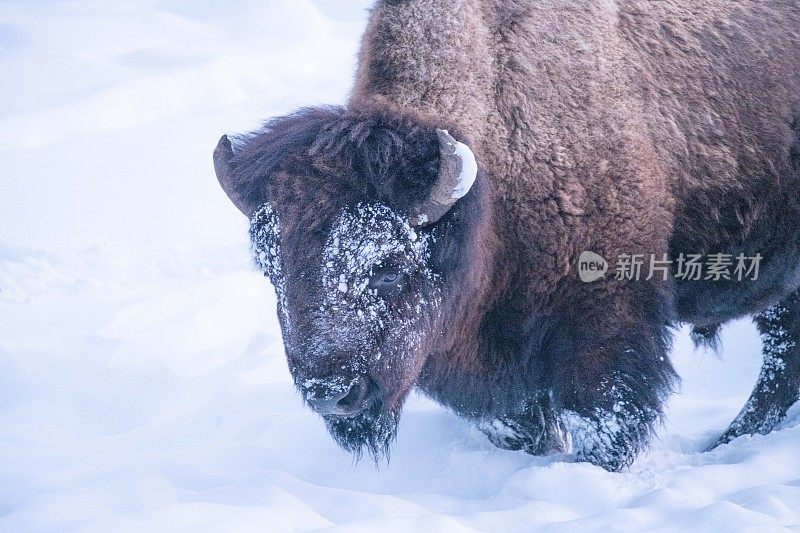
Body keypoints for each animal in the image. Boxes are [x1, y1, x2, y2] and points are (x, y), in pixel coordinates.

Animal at [212, 2, 800, 472]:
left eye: (388, 266)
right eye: (272, 269)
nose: (330, 393)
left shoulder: (603, 324)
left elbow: (600, 417)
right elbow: (520, 422)